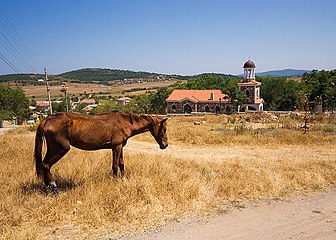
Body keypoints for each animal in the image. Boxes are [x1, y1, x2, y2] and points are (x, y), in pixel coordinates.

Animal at [34, 111, 168, 194]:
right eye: (164, 129)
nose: (165, 145)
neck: (123, 122)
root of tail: (47, 119)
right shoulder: (116, 147)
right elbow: (115, 166)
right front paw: (115, 182)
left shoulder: (120, 147)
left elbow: (121, 164)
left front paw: (124, 179)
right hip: (60, 149)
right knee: (46, 165)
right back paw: (54, 188)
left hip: (53, 149)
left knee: (44, 165)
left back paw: (48, 186)